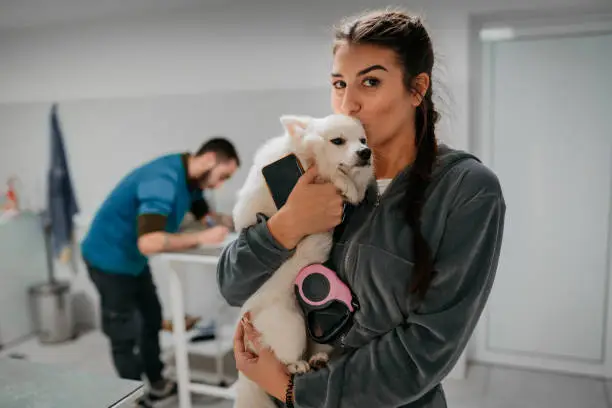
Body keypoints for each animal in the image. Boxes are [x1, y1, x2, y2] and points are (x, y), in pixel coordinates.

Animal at [230, 112, 372, 408]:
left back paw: (317, 359)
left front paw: (354, 187)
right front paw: (346, 186)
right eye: (338, 141)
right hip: (291, 323)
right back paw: (297, 365)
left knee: (318, 347)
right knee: (284, 356)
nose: (366, 153)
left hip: (321, 325)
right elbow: (331, 175)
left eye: (363, 140)